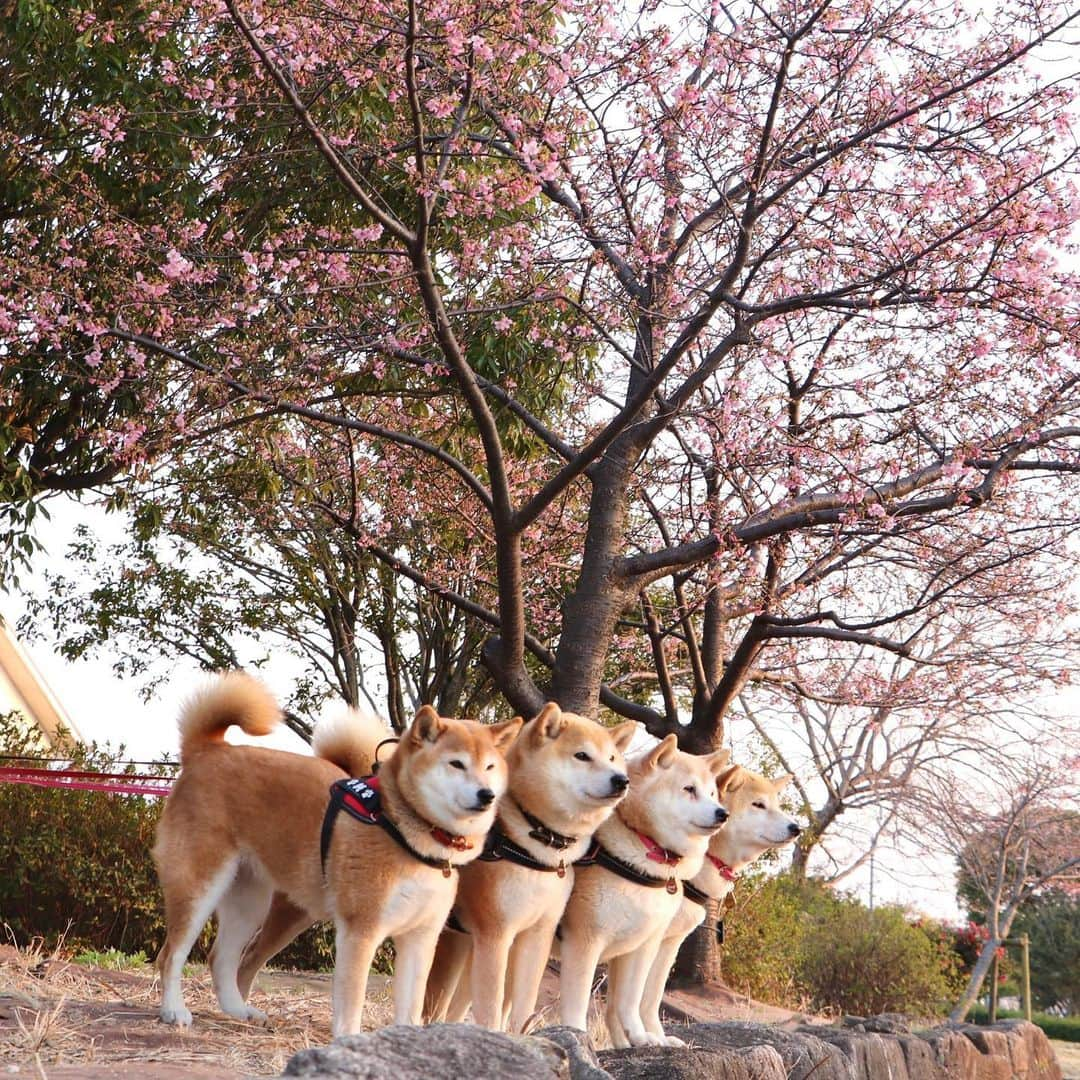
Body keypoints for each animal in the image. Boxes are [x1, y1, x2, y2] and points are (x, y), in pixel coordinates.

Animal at [154, 673, 520, 1036]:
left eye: (489, 767)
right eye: (457, 764)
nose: (487, 795)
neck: (405, 832)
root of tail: (208, 749)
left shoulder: (420, 938)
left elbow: (411, 1006)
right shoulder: (362, 930)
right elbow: (351, 1002)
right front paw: (348, 1039)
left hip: (249, 901)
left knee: (222, 958)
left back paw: (239, 1010)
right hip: (200, 886)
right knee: (171, 954)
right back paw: (174, 1010)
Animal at [421, 704, 635, 1032]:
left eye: (612, 758)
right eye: (582, 756)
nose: (621, 779)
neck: (539, 847)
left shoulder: (537, 935)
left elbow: (525, 1000)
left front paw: (522, 1033)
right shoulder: (495, 934)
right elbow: (492, 1005)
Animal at [630, 764, 803, 1041]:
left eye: (776, 805)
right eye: (758, 804)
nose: (796, 828)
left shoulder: (669, 940)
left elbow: (650, 995)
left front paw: (656, 1036)